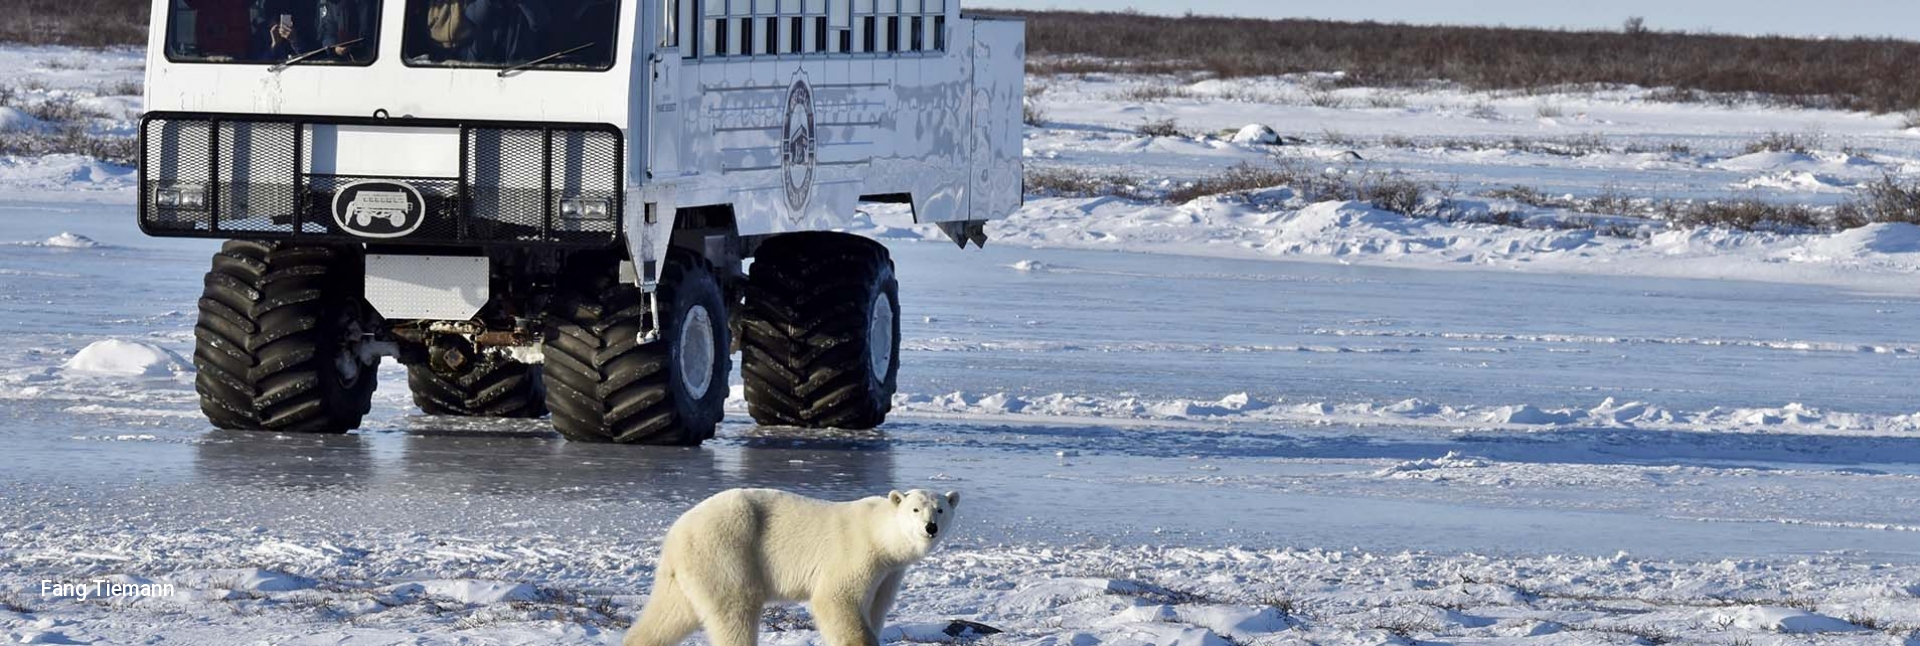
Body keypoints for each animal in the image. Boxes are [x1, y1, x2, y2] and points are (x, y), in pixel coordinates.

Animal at [625, 486, 960, 646]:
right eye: (915, 509)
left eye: (940, 509)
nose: (930, 527)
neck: (879, 535)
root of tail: (676, 531)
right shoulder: (856, 553)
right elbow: (836, 600)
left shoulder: (889, 573)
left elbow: (876, 608)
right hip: (727, 549)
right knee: (735, 608)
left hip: (690, 568)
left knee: (670, 614)